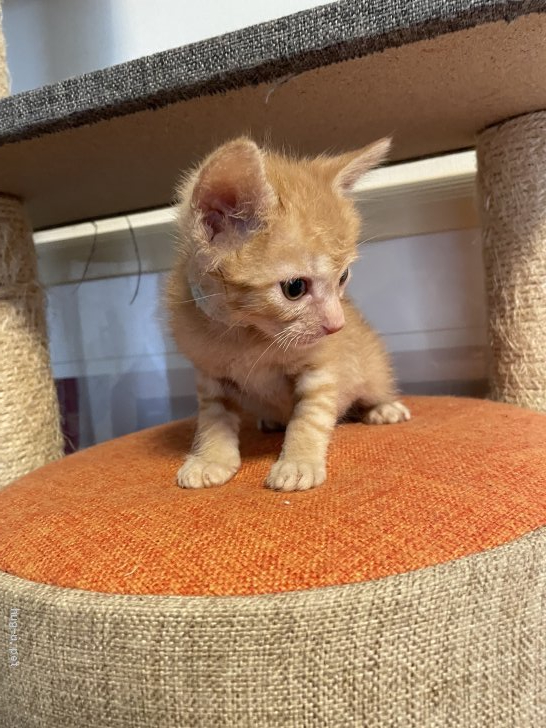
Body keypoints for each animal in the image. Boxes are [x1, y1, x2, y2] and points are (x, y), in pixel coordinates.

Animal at [167, 136, 409, 492]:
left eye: (343, 277)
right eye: (295, 288)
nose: (337, 326)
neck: (247, 333)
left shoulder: (320, 367)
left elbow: (310, 416)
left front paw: (298, 461)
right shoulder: (210, 373)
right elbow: (214, 418)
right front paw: (211, 458)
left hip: (372, 368)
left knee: (375, 385)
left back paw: (383, 407)